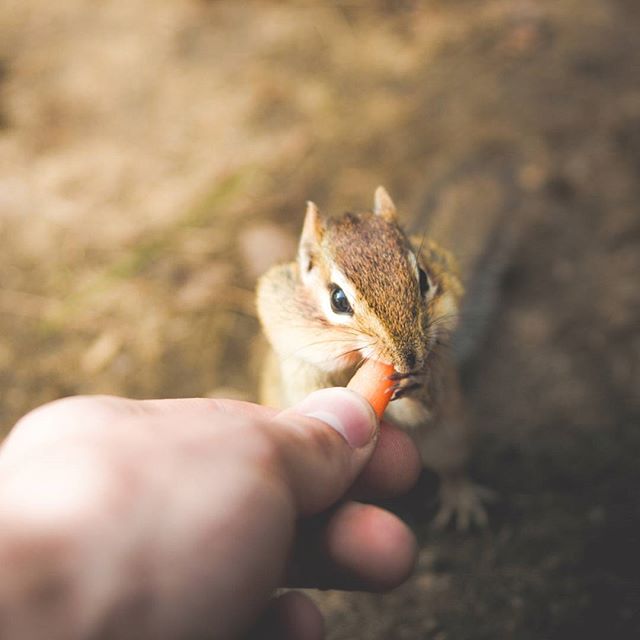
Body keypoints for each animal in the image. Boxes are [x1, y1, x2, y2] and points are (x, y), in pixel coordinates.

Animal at [256, 186, 497, 529]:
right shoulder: (298, 357)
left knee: (453, 468)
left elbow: (421, 408)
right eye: (338, 299)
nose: (409, 360)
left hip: (452, 436)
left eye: (424, 278)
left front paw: (417, 382)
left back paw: (460, 499)